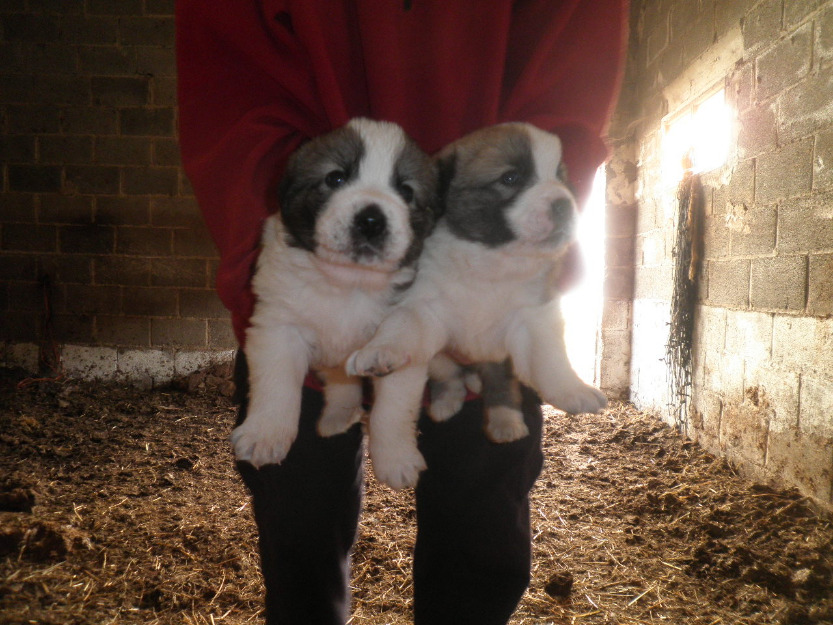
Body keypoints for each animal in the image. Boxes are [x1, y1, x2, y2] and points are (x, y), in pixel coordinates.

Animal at [229, 117, 436, 468]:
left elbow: (393, 407)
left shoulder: (403, 345)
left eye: (406, 191)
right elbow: (276, 382)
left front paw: (397, 461)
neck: (348, 282)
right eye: (335, 177)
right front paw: (264, 435)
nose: (371, 220)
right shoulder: (278, 326)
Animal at [344, 122, 604, 490]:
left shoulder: (534, 316)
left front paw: (573, 390)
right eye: (511, 178)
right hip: (441, 357)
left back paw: (505, 421)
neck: (490, 260)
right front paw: (379, 351)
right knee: (449, 376)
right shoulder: (422, 305)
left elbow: (551, 360)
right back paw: (447, 402)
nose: (565, 205)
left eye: (559, 176)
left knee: (500, 383)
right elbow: (400, 330)